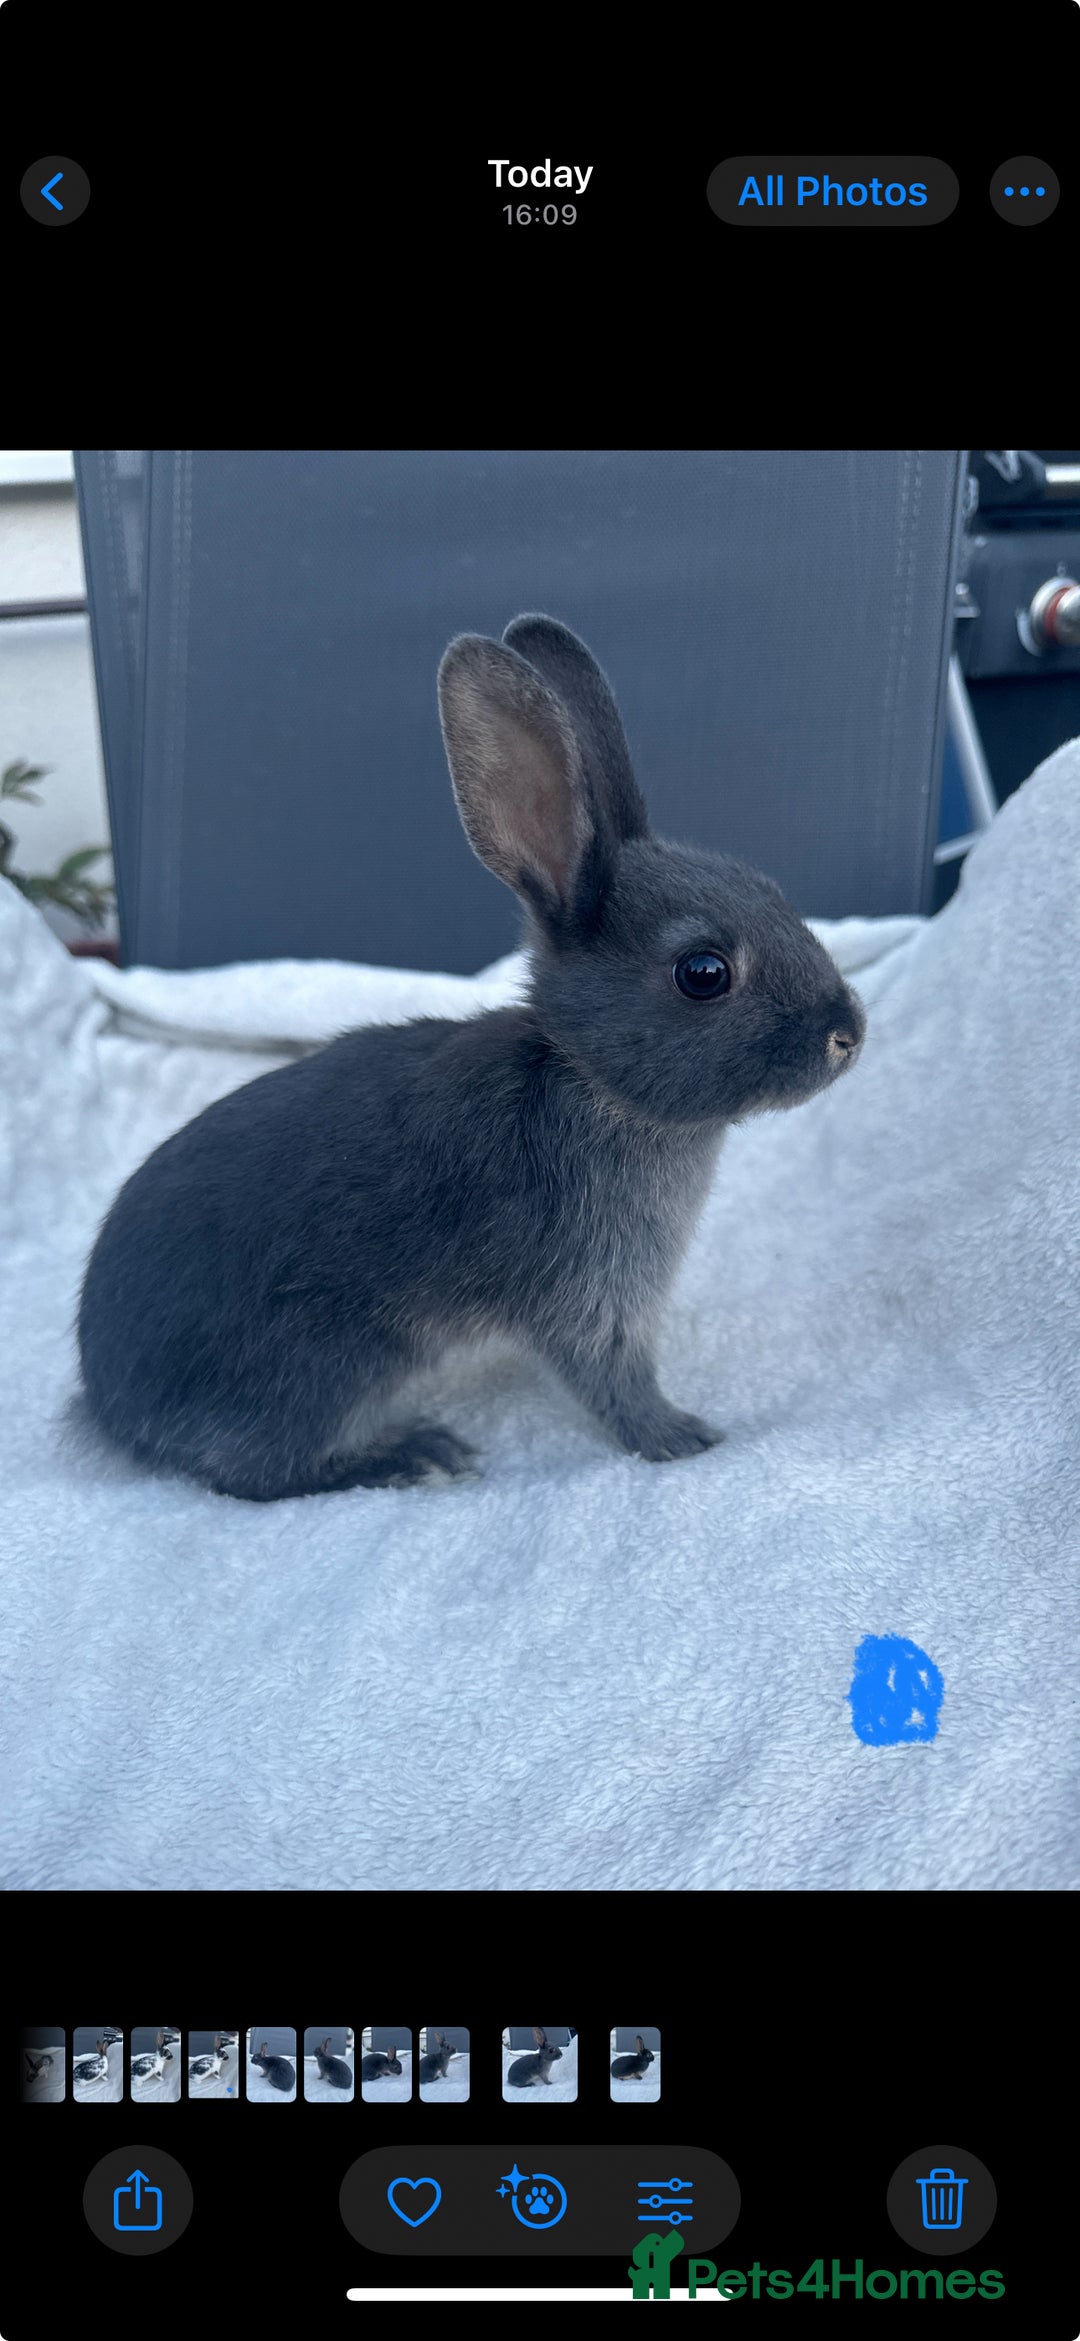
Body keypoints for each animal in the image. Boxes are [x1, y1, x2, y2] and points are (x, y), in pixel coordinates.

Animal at [75, 613, 866, 1501]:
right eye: (704, 973)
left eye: (772, 893)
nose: (848, 1032)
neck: (587, 1078)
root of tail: (110, 1400)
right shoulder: (587, 1290)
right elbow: (613, 1380)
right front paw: (684, 1437)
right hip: (331, 1361)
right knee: (259, 1476)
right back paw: (411, 1454)